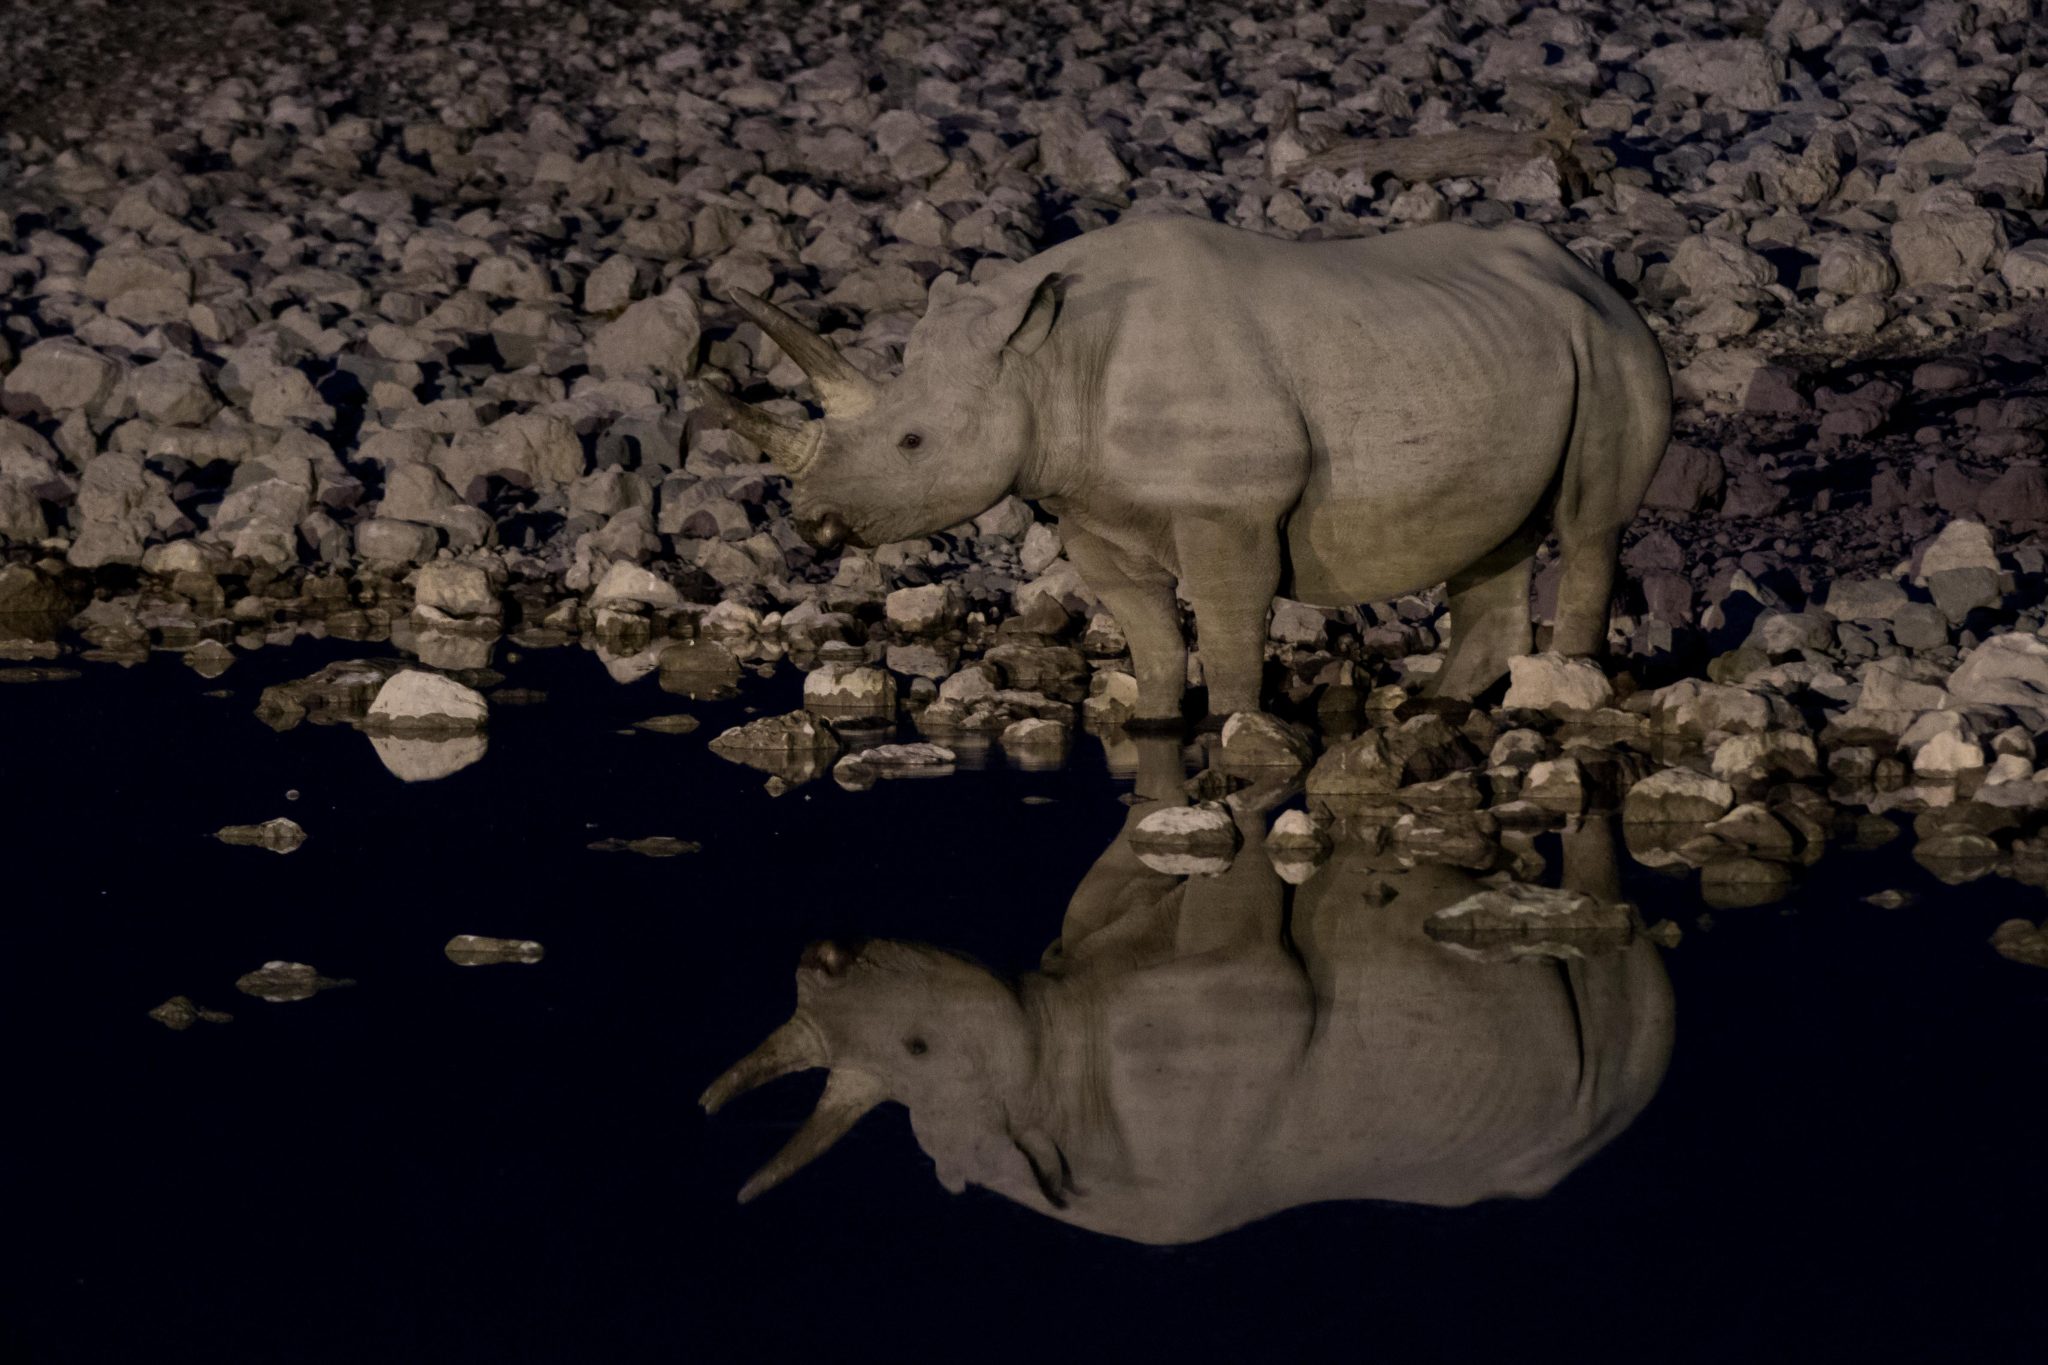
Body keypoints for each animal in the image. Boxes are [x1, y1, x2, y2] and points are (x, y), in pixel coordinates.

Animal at [703, 216, 1670, 721]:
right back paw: (1432, 710)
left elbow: (1231, 634)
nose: (813, 524)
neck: (1047, 361)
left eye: (912, 443)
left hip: (1614, 343)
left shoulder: (1228, 509)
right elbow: (1153, 639)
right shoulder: (1087, 506)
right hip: (1506, 345)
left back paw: (1567, 693)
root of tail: (1592, 275)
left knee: (1589, 525)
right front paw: (1158, 725)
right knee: (1498, 533)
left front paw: (1241, 731)